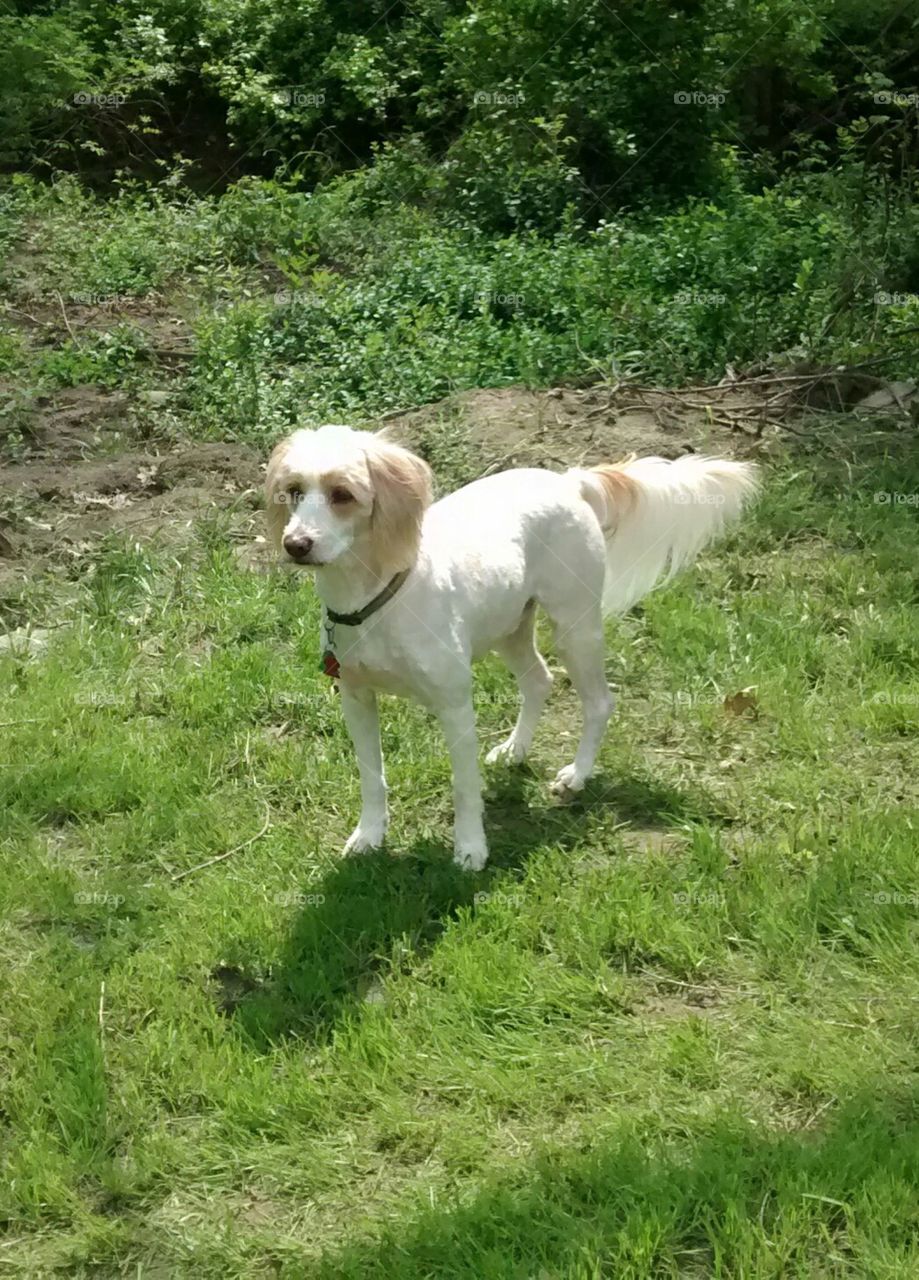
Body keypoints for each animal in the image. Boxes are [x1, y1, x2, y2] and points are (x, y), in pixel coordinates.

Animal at [262, 427, 757, 870]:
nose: (295, 544)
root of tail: (568, 480)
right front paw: (369, 835)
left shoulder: (455, 706)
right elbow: (372, 777)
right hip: (510, 627)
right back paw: (516, 749)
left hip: (575, 627)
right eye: (293, 491)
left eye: (342, 494)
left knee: (599, 702)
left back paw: (577, 775)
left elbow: (464, 787)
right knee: (540, 680)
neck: (376, 596)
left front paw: (470, 849)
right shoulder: (356, 698)